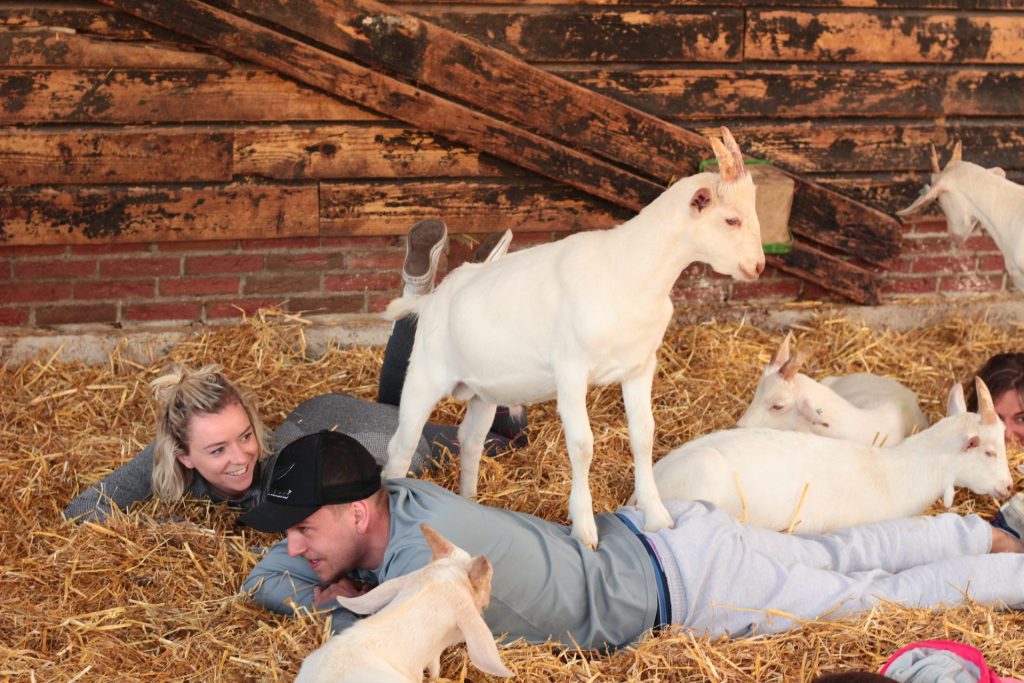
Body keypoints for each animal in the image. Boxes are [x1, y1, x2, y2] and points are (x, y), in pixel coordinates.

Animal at [382, 127, 766, 549]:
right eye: (731, 219)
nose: (758, 266)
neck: (630, 270)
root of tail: (433, 300)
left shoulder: (640, 367)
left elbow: (644, 435)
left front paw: (658, 517)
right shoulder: (570, 371)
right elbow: (582, 446)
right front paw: (584, 529)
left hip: (485, 392)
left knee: (469, 440)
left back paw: (470, 500)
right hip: (425, 376)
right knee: (401, 445)